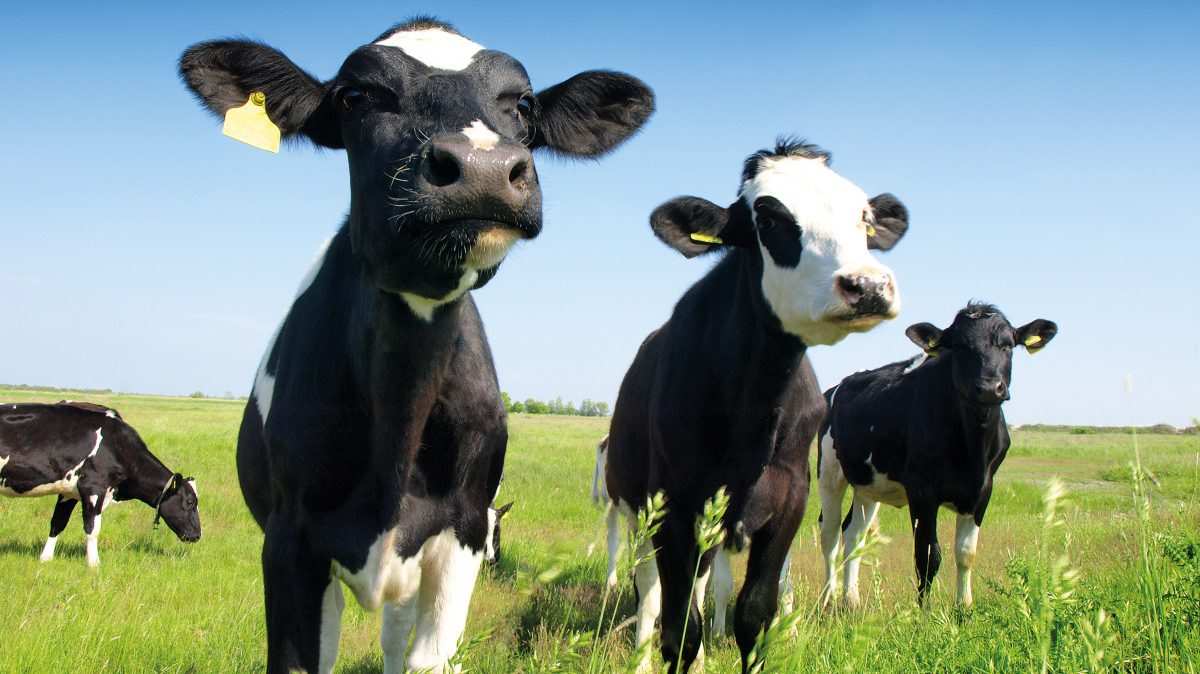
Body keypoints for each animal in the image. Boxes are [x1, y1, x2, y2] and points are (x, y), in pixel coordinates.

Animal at [0, 400, 201, 563]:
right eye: (190, 502)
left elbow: (58, 522)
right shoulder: (93, 487)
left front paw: (45, 559)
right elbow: (92, 528)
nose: (198, 535)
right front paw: (94, 564)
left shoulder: (68, 492)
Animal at [175, 17, 657, 671]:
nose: (483, 167)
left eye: (523, 105)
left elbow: (428, 658)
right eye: (356, 96)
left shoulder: (462, 532)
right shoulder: (289, 540)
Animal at [604, 139, 912, 666]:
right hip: (637, 510)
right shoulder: (674, 507)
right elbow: (679, 627)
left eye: (864, 217)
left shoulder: (788, 500)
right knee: (648, 590)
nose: (869, 285)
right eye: (768, 219)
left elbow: (754, 614)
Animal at [816, 304, 1060, 609]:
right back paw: (828, 599)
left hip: (868, 483)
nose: (989, 387)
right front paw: (924, 611)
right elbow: (928, 555)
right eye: (960, 347)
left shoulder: (982, 491)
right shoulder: (922, 491)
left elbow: (966, 552)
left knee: (854, 533)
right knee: (830, 533)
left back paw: (851, 600)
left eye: (1007, 345)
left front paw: (964, 607)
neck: (972, 449)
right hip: (829, 472)